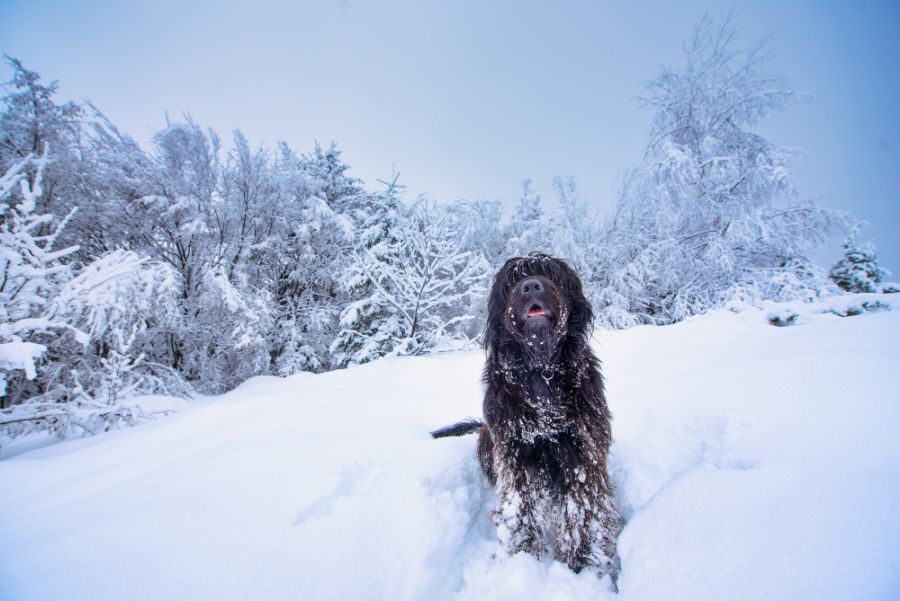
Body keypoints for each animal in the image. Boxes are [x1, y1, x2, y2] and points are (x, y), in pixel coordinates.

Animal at [432, 252, 624, 576]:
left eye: (549, 273)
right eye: (513, 279)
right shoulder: (515, 452)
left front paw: (582, 561)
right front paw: (522, 553)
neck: (541, 370)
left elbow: (583, 508)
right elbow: (520, 507)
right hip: (488, 440)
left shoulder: (581, 450)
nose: (532, 286)